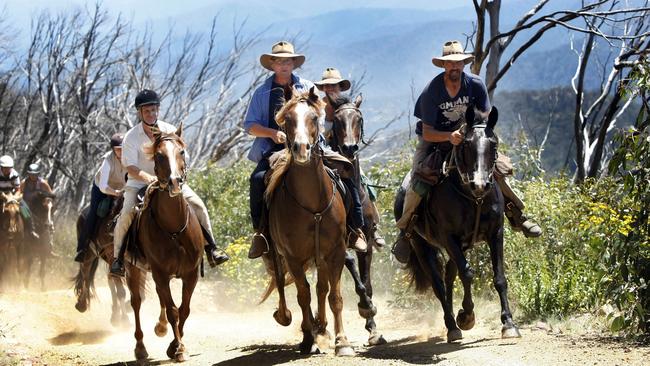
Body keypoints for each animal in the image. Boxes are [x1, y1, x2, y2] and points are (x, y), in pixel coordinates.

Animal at [73, 200, 130, 328]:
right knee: (85, 275)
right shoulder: (113, 260)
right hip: (89, 255)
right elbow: (121, 291)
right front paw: (125, 320)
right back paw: (82, 305)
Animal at [127, 123, 205, 364]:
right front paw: (178, 348)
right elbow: (173, 311)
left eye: (182, 151)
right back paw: (140, 347)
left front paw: (175, 346)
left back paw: (161, 329)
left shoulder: (190, 274)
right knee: (136, 302)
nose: (174, 181)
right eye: (159, 155)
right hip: (133, 270)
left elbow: (184, 309)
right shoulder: (160, 273)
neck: (174, 229)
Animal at [262, 87, 354, 356]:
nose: (301, 148)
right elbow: (303, 296)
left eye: (314, 117)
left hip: (321, 257)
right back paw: (310, 328)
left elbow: (334, 296)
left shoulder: (335, 252)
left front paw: (342, 342)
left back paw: (322, 327)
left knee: (322, 289)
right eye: (287, 119)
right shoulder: (293, 257)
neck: (313, 206)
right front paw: (307, 338)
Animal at [392, 106, 520, 344]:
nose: (480, 184)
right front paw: (466, 316)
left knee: (449, 276)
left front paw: (508, 324)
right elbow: (467, 274)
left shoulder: (495, 233)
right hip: (422, 246)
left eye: (493, 144)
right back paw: (452, 325)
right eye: (466, 144)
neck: (473, 198)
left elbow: (499, 277)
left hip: (460, 246)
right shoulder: (448, 237)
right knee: (439, 284)